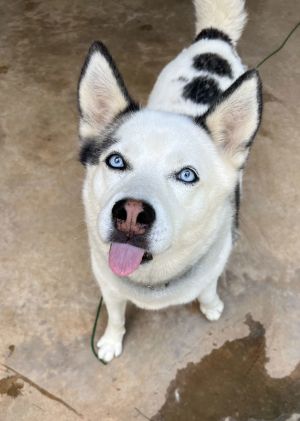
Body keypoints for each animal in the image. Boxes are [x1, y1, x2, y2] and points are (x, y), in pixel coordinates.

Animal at [77, 0, 262, 360]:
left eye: (187, 175)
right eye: (116, 161)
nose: (131, 214)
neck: (152, 277)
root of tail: (214, 39)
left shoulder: (214, 265)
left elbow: (207, 289)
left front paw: (211, 305)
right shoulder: (108, 283)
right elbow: (116, 314)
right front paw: (111, 341)